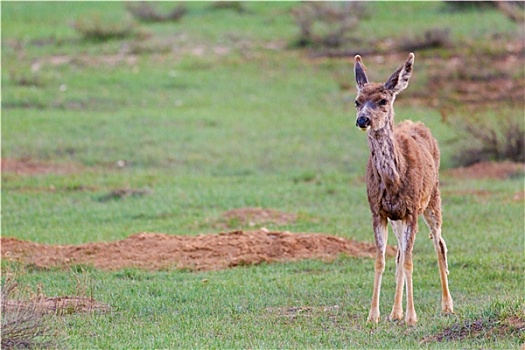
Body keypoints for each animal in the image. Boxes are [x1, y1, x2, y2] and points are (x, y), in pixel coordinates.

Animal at [354, 53, 452, 324]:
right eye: (357, 101)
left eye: (383, 100)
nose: (363, 120)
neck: (393, 180)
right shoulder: (378, 211)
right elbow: (381, 260)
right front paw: (374, 316)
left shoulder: (411, 210)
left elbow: (409, 261)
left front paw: (412, 317)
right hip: (398, 217)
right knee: (398, 254)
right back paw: (395, 311)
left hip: (433, 198)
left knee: (439, 245)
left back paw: (447, 306)